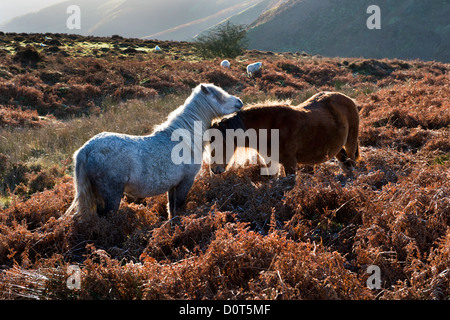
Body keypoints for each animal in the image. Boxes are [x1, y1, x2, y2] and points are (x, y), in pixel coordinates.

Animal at [64, 84, 243, 221]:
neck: (185, 139)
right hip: (111, 195)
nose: (239, 102)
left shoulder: (173, 185)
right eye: (219, 96)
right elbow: (179, 206)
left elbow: (172, 209)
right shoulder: (185, 181)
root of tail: (86, 149)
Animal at [209, 91, 360, 176]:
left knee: (352, 163)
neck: (271, 129)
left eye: (218, 145)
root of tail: (348, 99)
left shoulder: (290, 163)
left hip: (350, 143)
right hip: (338, 149)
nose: (214, 170)